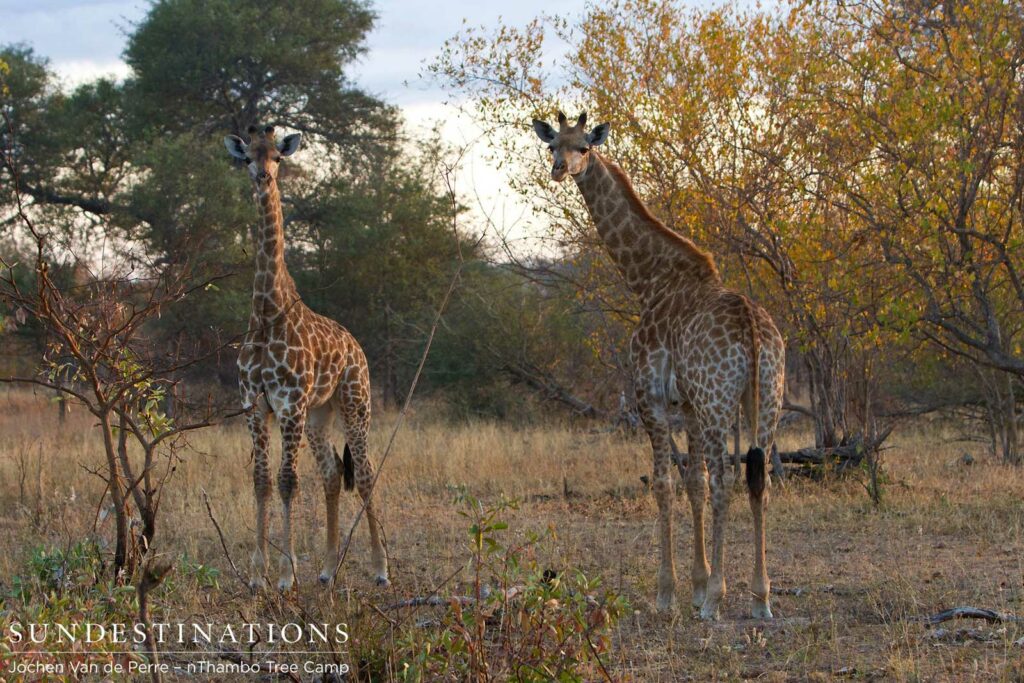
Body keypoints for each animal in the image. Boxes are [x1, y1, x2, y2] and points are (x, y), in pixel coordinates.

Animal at [224, 124, 388, 591]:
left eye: (278, 157)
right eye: (247, 158)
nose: (262, 176)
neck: (266, 312)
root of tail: (357, 348)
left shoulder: (289, 405)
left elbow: (287, 482)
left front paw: (285, 574)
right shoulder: (254, 405)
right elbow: (261, 482)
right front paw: (257, 574)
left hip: (355, 403)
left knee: (365, 473)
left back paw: (380, 569)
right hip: (320, 413)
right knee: (332, 474)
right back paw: (328, 569)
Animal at [533, 112, 785, 620]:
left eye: (584, 147)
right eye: (553, 146)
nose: (560, 169)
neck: (648, 280)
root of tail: (752, 326)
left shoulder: (649, 396)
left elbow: (665, 484)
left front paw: (670, 594)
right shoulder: (686, 403)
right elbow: (694, 483)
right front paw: (696, 585)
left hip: (718, 402)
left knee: (728, 478)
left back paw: (719, 600)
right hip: (767, 398)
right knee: (758, 478)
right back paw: (761, 597)